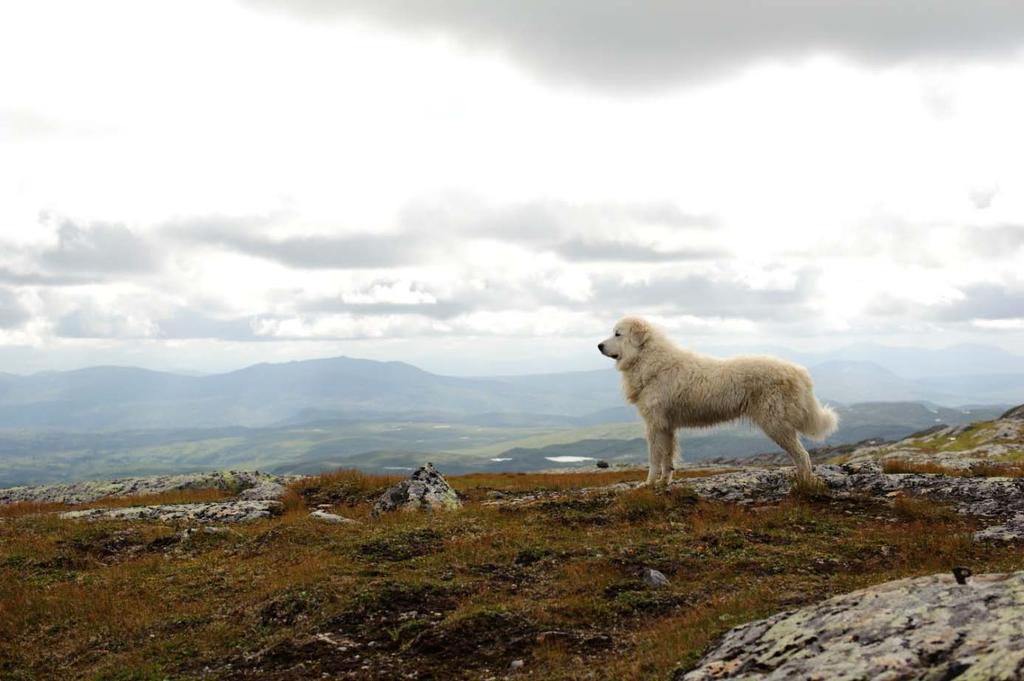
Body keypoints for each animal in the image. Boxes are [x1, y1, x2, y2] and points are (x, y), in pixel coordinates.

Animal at [598, 315, 835, 485]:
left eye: (618, 334)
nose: (599, 346)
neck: (649, 360)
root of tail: (797, 371)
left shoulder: (654, 425)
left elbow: (655, 459)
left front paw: (647, 484)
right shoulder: (666, 426)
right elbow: (668, 458)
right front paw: (665, 483)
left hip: (775, 425)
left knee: (803, 456)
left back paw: (804, 485)